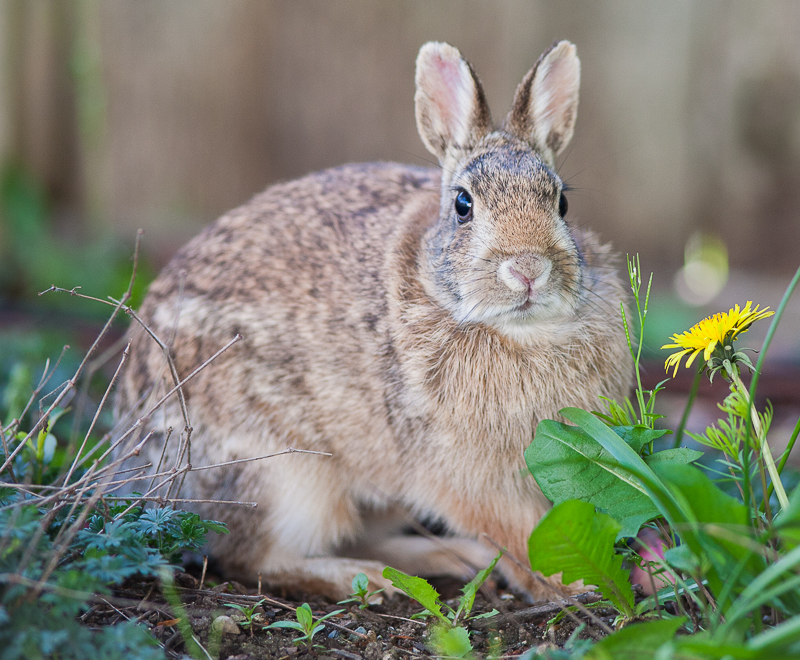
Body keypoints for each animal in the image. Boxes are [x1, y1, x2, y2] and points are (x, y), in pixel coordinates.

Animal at [115, 38, 636, 600]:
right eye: (463, 204)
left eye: (561, 202)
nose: (528, 269)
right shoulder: (458, 475)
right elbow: (520, 531)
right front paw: (574, 584)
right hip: (287, 479)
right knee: (251, 558)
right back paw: (366, 579)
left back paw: (446, 560)